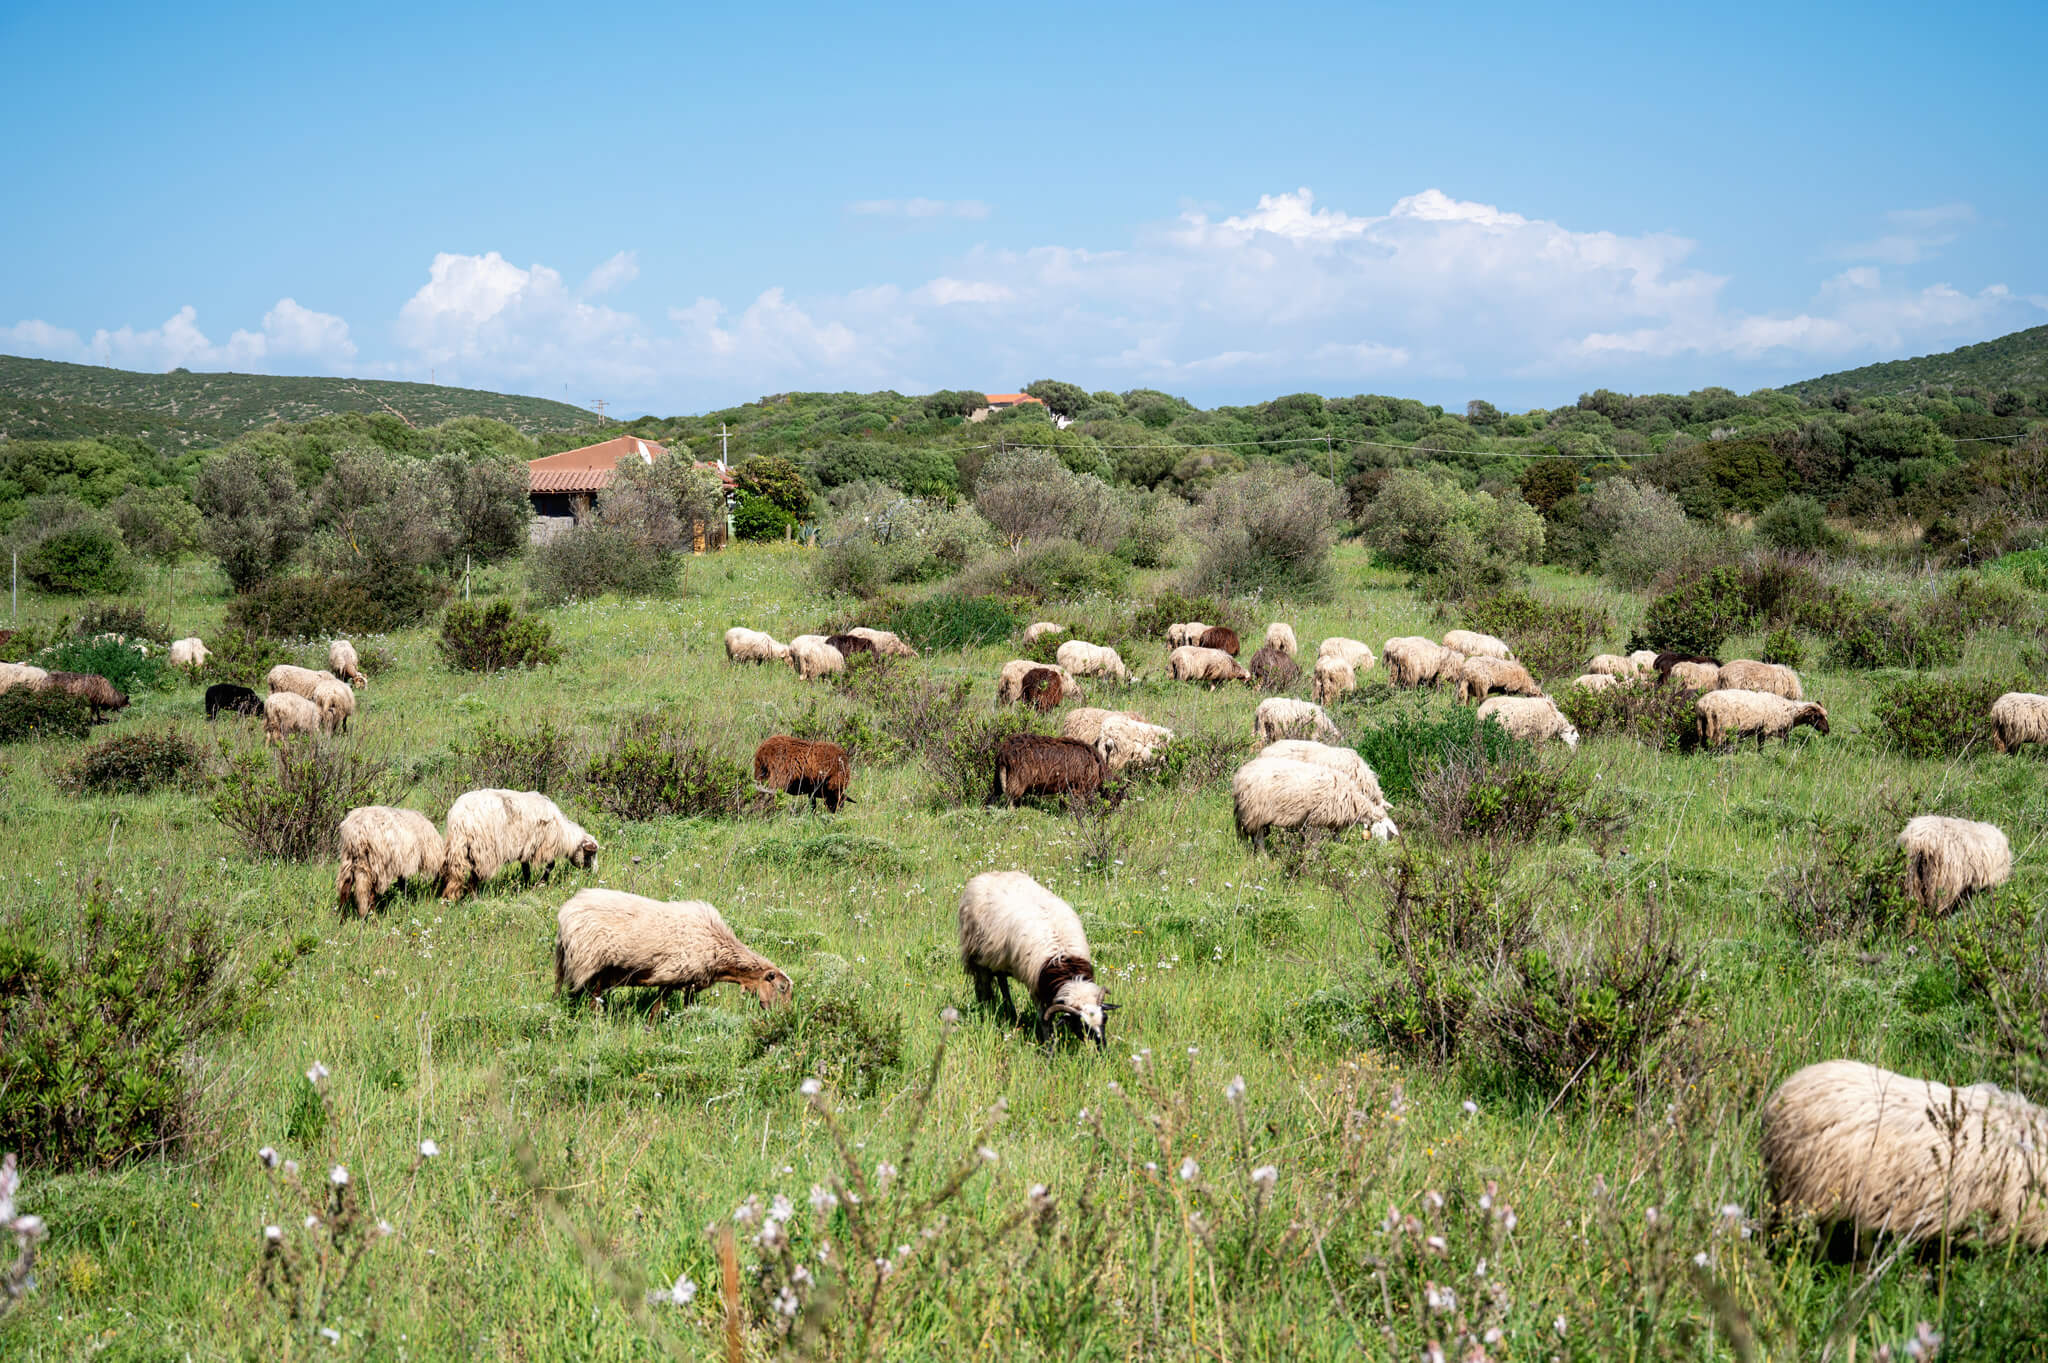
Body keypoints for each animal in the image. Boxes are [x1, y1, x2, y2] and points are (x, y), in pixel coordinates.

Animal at [441, 789, 599, 902]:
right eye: (591, 854)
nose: (595, 874)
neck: (564, 835)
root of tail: (460, 817)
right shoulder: (543, 846)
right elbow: (550, 865)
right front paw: (540, 884)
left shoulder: (527, 849)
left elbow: (526, 870)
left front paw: (527, 886)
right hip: (483, 849)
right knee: (476, 874)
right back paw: (475, 898)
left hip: (461, 847)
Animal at [555, 889, 791, 1009]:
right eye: (781, 988)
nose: (784, 1015)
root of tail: (566, 911)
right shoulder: (673, 974)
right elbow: (658, 1008)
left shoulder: (691, 982)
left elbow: (686, 1007)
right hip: (591, 963)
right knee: (592, 999)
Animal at [958, 870, 1113, 1046]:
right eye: (1082, 1024)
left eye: (1105, 1018)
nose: (1102, 1047)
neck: (1064, 961)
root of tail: (990, 873)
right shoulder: (1036, 989)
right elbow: (1044, 1020)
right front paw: (1049, 1046)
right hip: (977, 956)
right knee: (983, 985)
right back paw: (985, 1009)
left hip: (999, 958)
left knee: (1002, 980)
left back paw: (1010, 1010)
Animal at [1233, 755, 1396, 850]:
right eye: (1384, 832)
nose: (1383, 851)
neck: (1353, 799)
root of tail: (1240, 776)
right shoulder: (1316, 820)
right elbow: (1315, 845)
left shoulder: (1333, 821)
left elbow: (1336, 838)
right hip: (1255, 811)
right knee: (1259, 839)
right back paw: (1263, 858)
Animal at [1694, 689, 1830, 751]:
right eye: (1818, 717)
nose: (1827, 731)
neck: (1789, 712)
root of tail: (1702, 705)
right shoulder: (1769, 729)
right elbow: (1765, 745)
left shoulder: (1764, 730)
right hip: (1720, 727)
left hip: (1703, 726)